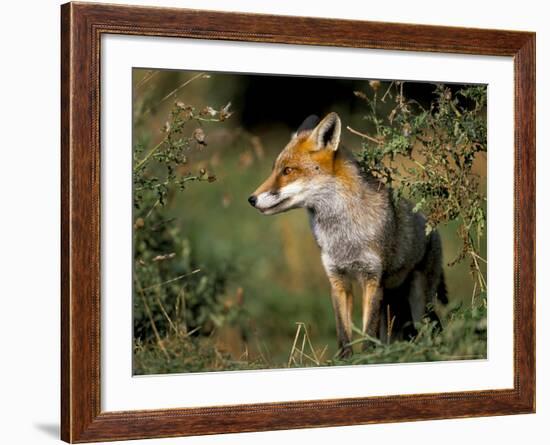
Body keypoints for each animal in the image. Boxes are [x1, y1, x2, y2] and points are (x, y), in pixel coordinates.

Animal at [250, 112, 448, 358]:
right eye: (275, 169)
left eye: (287, 171)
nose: (251, 199)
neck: (344, 238)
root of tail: (431, 226)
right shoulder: (338, 280)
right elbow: (344, 335)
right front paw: (345, 360)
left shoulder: (372, 280)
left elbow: (368, 334)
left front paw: (367, 359)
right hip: (393, 302)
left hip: (420, 303)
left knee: (433, 329)